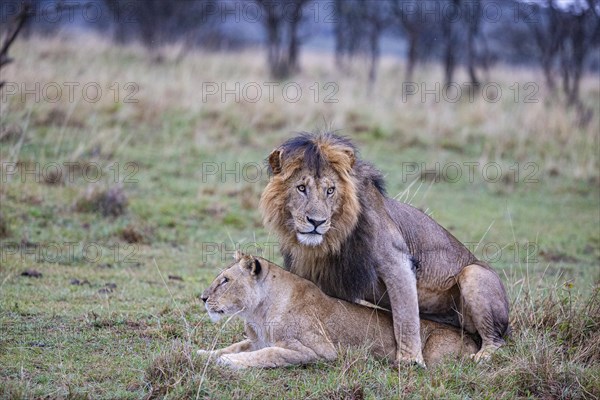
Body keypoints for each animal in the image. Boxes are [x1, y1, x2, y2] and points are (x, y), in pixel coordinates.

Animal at [199, 253, 480, 368]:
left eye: (225, 280)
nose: (202, 298)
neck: (257, 314)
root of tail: (473, 339)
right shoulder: (256, 340)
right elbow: (234, 346)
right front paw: (203, 353)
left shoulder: (316, 350)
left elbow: (269, 354)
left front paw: (229, 362)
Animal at [260, 134, 508, 366]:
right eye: (301, 188)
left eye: (330, 190)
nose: (317, 222)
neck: (330, 241)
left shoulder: (397, 261)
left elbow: (406, 318)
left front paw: (410, 361)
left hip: (474, 274)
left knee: (497, 339)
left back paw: (482, 356)